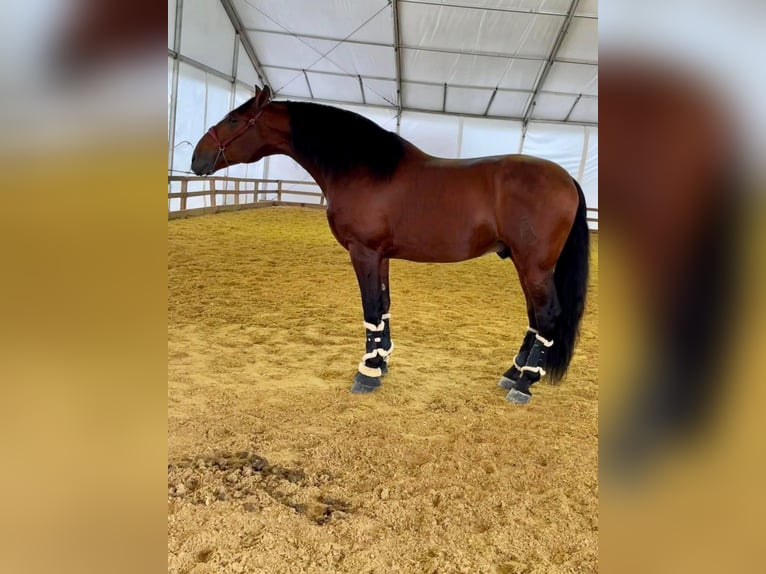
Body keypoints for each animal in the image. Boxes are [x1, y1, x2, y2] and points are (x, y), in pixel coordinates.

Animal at [190, 86, 588, 404]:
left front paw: (366, 374)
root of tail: (567, 178)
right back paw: (513, 372)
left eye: (233, 119)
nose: (196, 158)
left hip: (535, 265)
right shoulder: (379, 256)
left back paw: (524, 384)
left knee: (547, 316)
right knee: (535, 318)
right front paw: (380, 363)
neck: (363, 168)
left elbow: (369, 309)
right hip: (523, 264)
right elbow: (382, 307)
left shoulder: (363, 251)